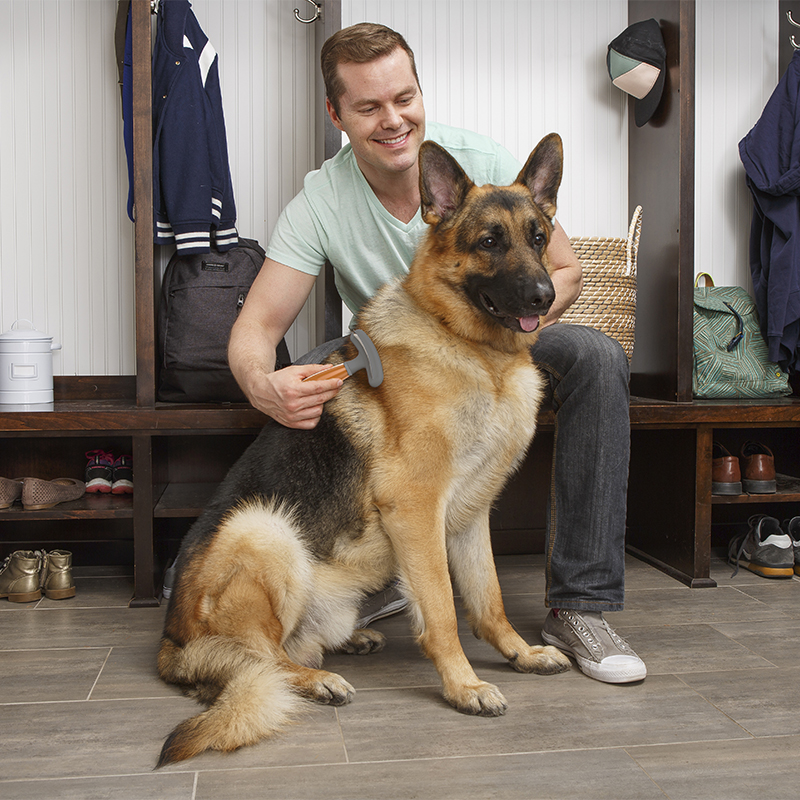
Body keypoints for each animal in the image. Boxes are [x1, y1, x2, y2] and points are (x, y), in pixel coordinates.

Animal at [155, 133, 568, 768]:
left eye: (538, 238)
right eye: (489, 242)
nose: (544, 297)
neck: (472, 349)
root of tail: (172, 642)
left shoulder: (470, 517)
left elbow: (488, 598)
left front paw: (519, 653)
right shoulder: (418, 510)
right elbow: (443, 609)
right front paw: (463, 685)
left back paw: (349, 641)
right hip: (264, 529)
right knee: (261, 659)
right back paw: (314, 679)